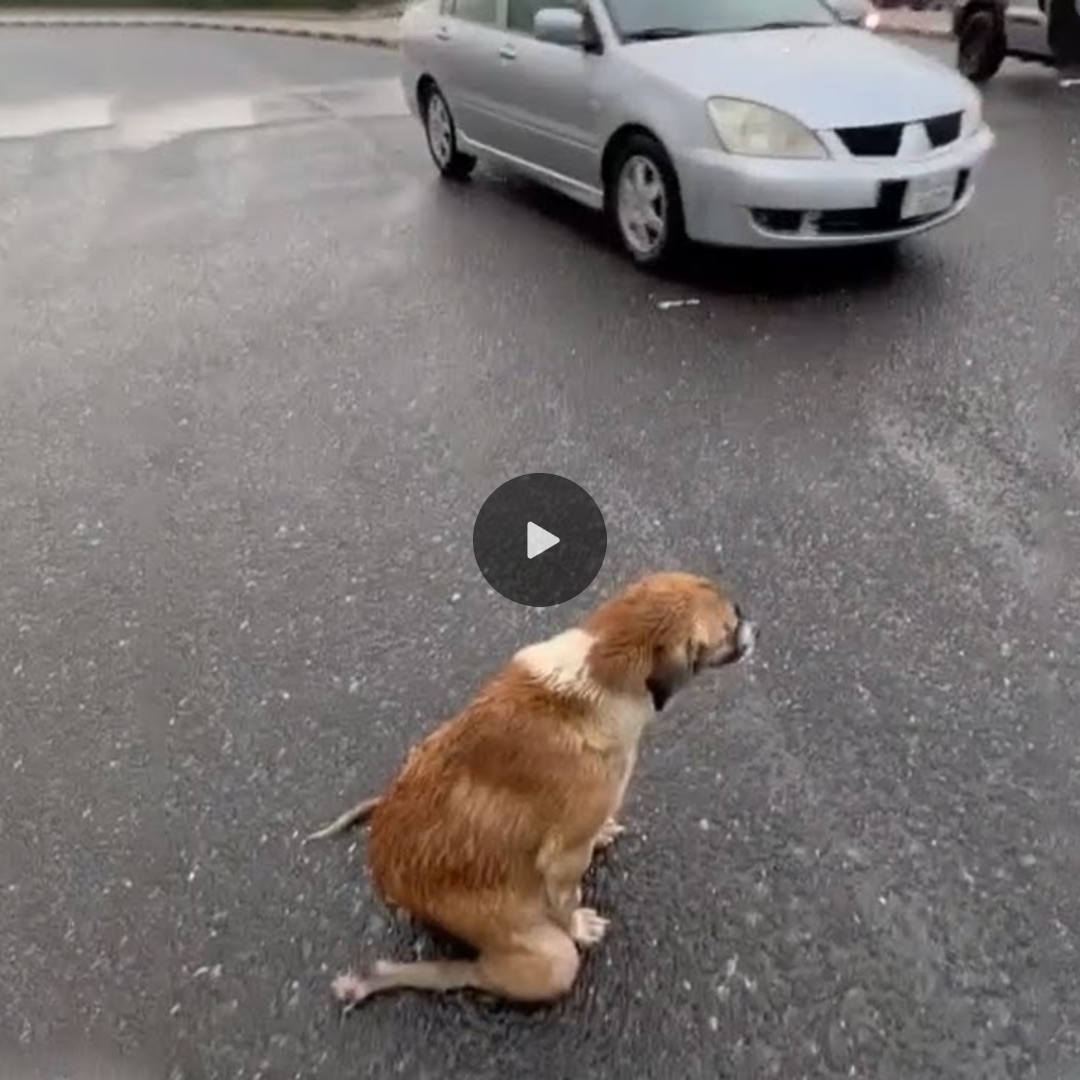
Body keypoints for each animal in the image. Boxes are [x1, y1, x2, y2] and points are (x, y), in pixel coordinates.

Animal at [308, 574, 756, 1010]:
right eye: (728, 628)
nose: (751, 622)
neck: (598, 672)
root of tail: (387, 880)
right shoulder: (564, 857)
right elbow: (567, 898)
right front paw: (578, 923)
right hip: (546, 955)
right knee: (474, 972)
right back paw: (376, 978)